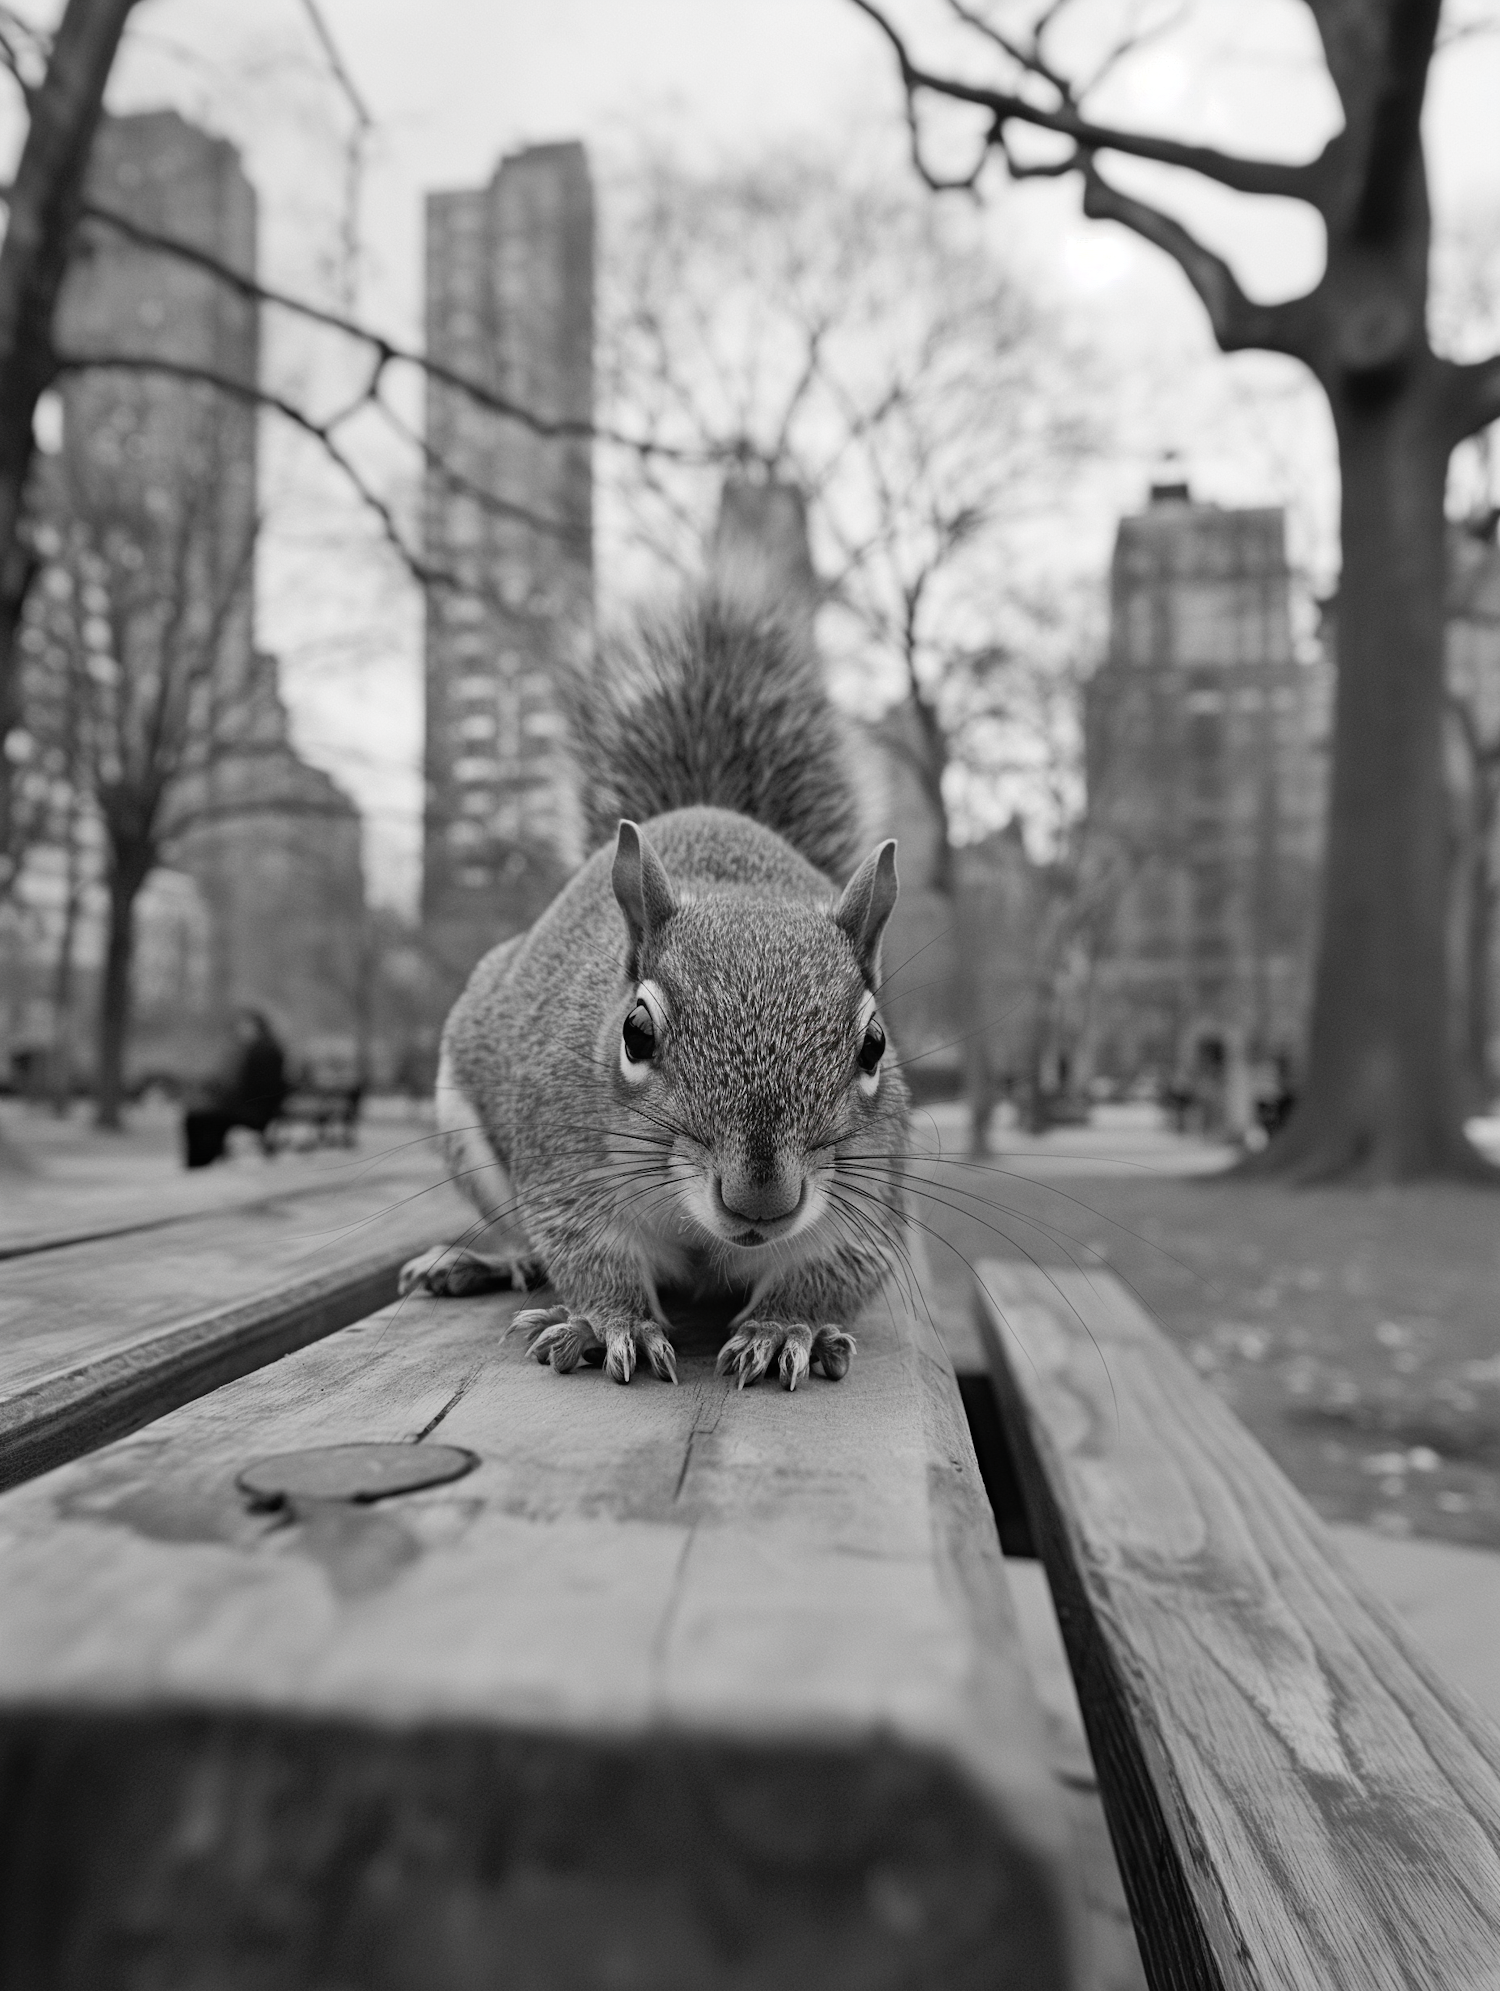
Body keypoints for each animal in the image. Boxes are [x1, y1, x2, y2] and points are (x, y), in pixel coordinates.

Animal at [398, 577, 908, 1393]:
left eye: (875, 1045)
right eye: (635, 1034)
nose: (761, 1197)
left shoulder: (867, 1194)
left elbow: (831, 1267)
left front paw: (784, 1326)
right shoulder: (566, 1160)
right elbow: (586, 1249)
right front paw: (612, 1323)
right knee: (525, 1241)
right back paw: (481, 1262)